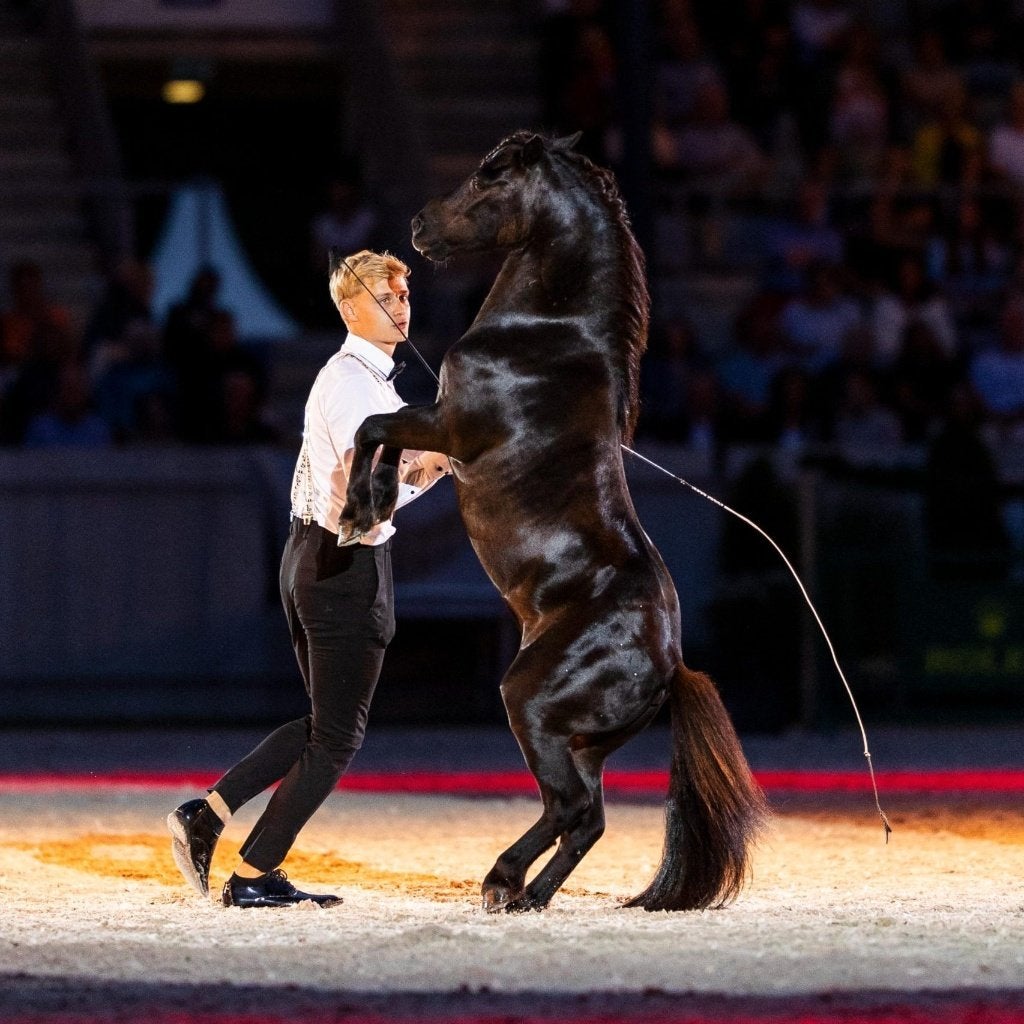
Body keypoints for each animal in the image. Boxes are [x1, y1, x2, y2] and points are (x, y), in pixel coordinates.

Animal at [340, 130, 767, 912]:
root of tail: (671, 666)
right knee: (585, 817)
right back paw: (527, 896)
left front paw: (360, 512)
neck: (545, 334)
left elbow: (373, 426)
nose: (418, 226)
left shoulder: (447, 426)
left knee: (569, 809)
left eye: (489, 176)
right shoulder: (437, 434)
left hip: (530, 705)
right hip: (579, 740)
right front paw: (374, 504)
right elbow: (379, 435)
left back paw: (504, 883)